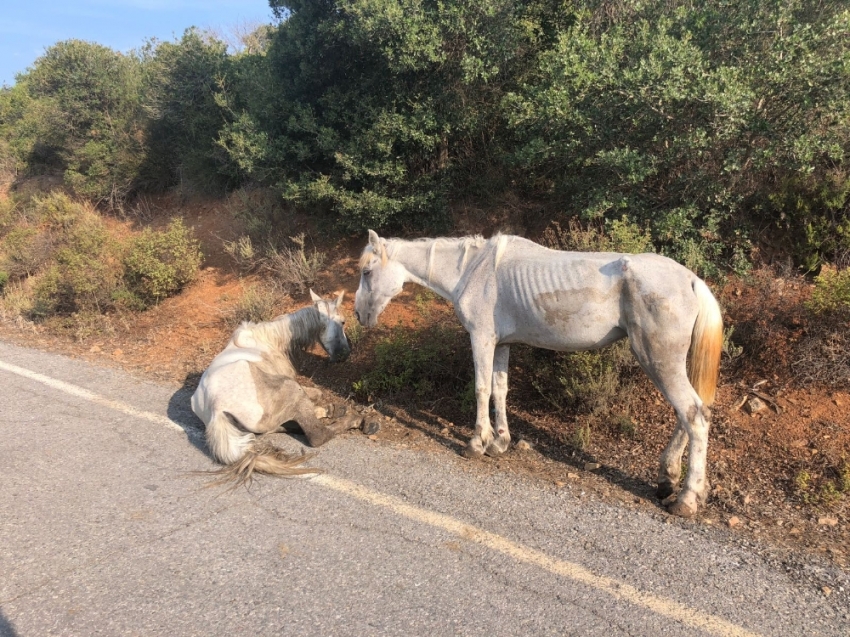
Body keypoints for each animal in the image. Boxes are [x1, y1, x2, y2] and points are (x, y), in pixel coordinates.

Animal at [190, 290, 360, 484]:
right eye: (343, 321)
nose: (345, 354)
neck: (271, 340)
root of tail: (216, 410)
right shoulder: (291, 380)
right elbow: (316, 394)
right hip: (290, 389)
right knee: (317, 434)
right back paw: (353, 418)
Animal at [354, 231, 720, 516]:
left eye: (368, 272)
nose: (358, 314)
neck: (474, 270)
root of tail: (691, 279)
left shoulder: (481, 339)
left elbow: (481, 388)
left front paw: (476, 442)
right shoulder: (501, 343)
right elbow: (499, 390)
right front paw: (500, 441)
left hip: (657, 360)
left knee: (694, 415)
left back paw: (686, 500)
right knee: (689, 415)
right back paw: (668, 480)